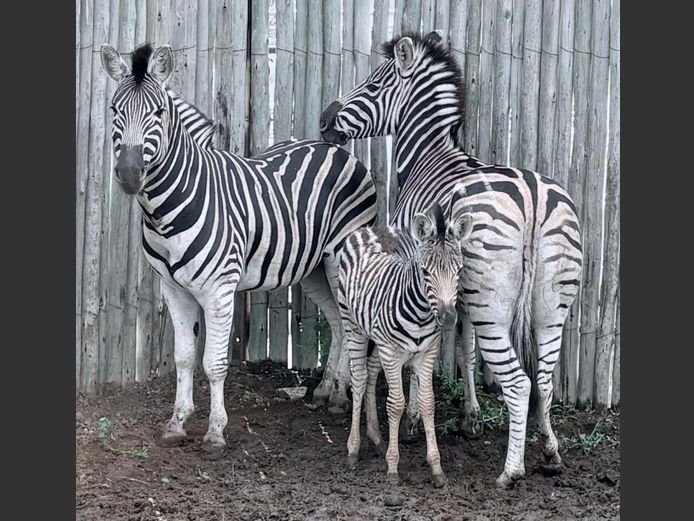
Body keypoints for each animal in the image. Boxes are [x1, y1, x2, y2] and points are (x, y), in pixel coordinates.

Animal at [100, 43, 377, 457]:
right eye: (115, 109)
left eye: (158, 113)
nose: (130, 175)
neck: (167, 210)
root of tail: (331, 146)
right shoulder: (173, 289)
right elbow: (184, 358)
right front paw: (177, 423)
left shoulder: (219, 289)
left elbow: (213, 363)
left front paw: (215, 432)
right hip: (311, 268)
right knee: (338, 322)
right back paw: (327, 391)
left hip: (340, 258)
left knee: (351, 323)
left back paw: (343, 397)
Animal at [339, 201, 473, 487]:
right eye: (425, 272)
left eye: (459, 270)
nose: (448, 318)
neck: (421, 314)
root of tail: (375, 228)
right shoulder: (391, 353)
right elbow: (396, 404)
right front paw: (392, 467)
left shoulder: (426, 353)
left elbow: (427, 403)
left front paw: (436, 467)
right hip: (353, 325)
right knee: (359, 378)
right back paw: (354, 448)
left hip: (377, 338)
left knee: (370, 371)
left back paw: (376, 436)